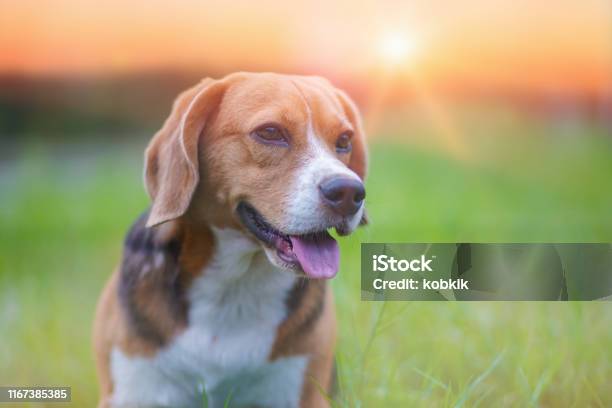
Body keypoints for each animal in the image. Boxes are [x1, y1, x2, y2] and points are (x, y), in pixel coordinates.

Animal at [93, 73, 366, 408]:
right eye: (270, 132)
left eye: (344, 141)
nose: (350, 193)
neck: (235, 286)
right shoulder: (132, 392)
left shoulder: (302, 395)